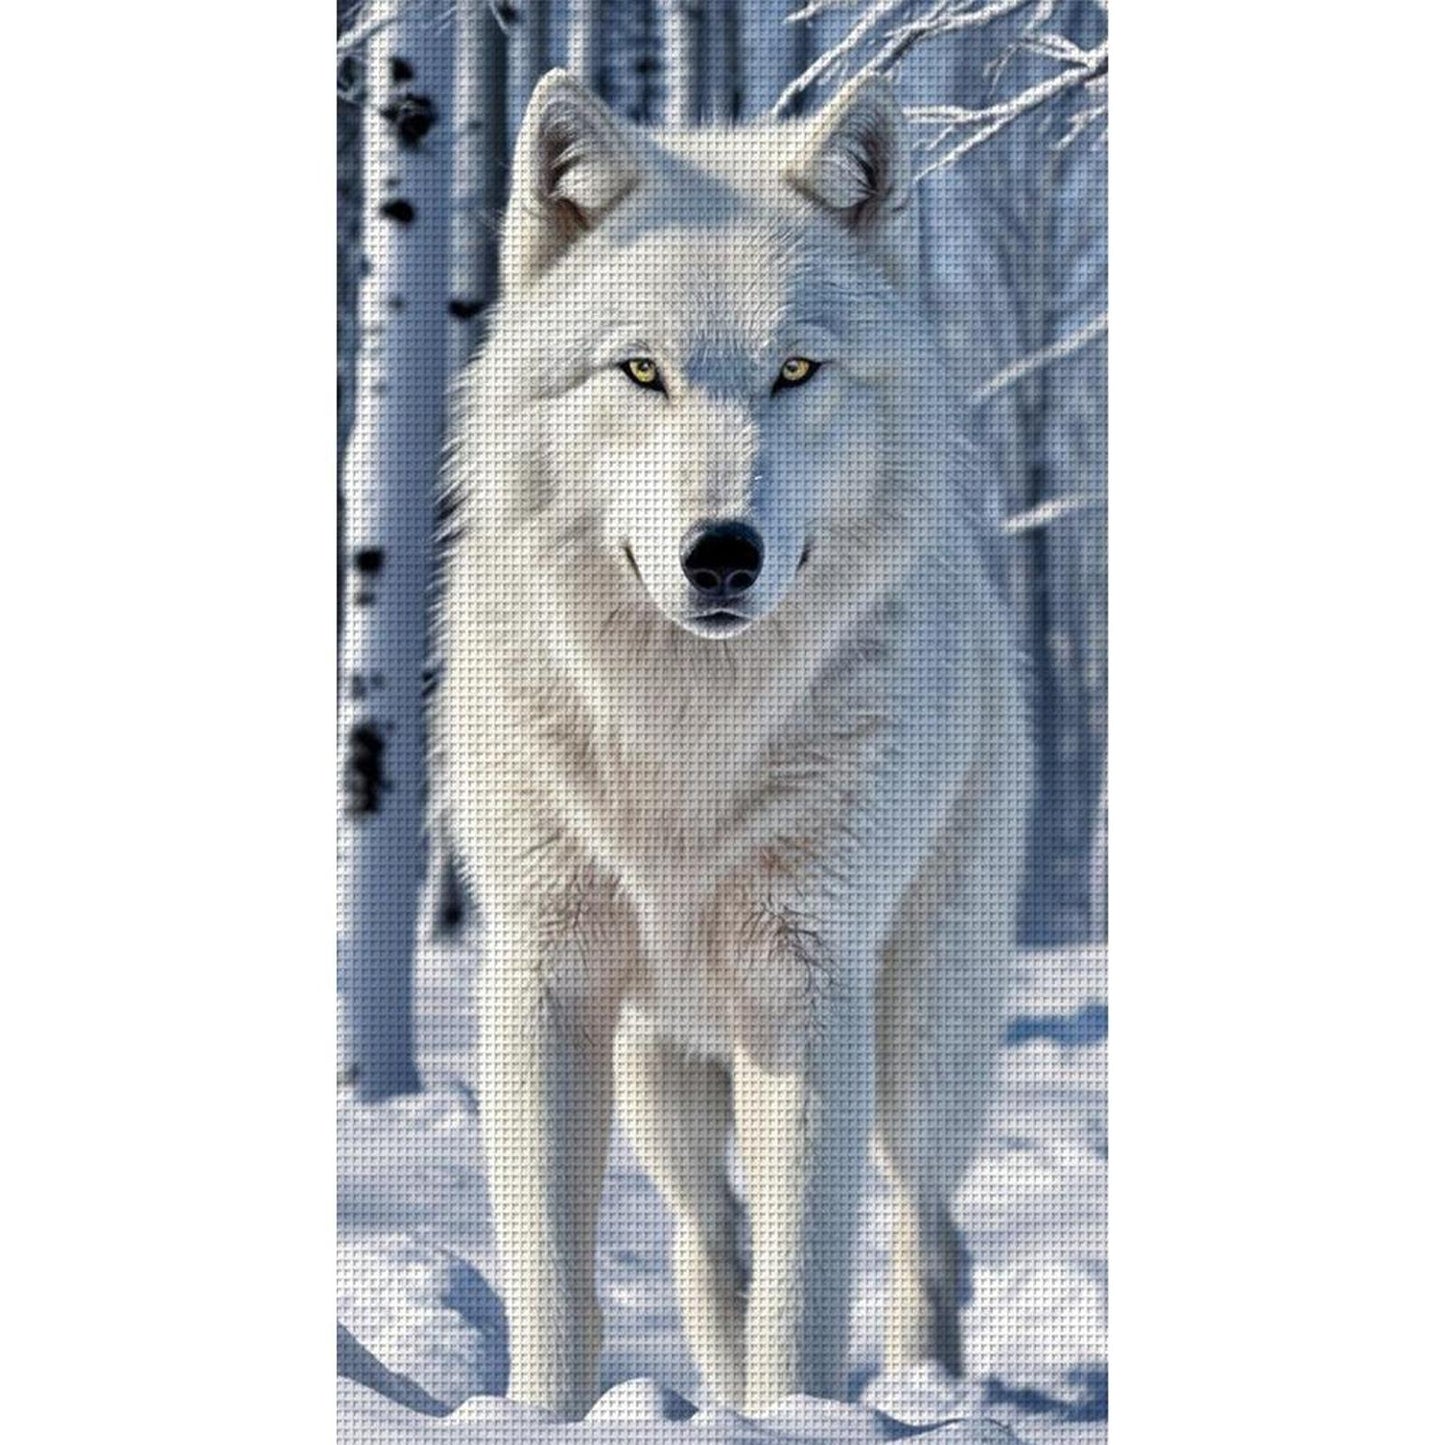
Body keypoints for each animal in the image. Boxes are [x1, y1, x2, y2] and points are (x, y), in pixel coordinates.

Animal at [436, 68, 1032, 1419]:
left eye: (796, 369)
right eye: (639, 371)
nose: (721, 553)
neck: (684, 731)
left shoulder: (805, 982)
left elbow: (804, 1293)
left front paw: (800, 1418)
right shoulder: (544, 979)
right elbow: (554, 1277)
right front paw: (544, 1417)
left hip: (920, 1035)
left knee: (926, 1230)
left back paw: (923, 1393)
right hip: (663, 1072)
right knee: (707, 1243)